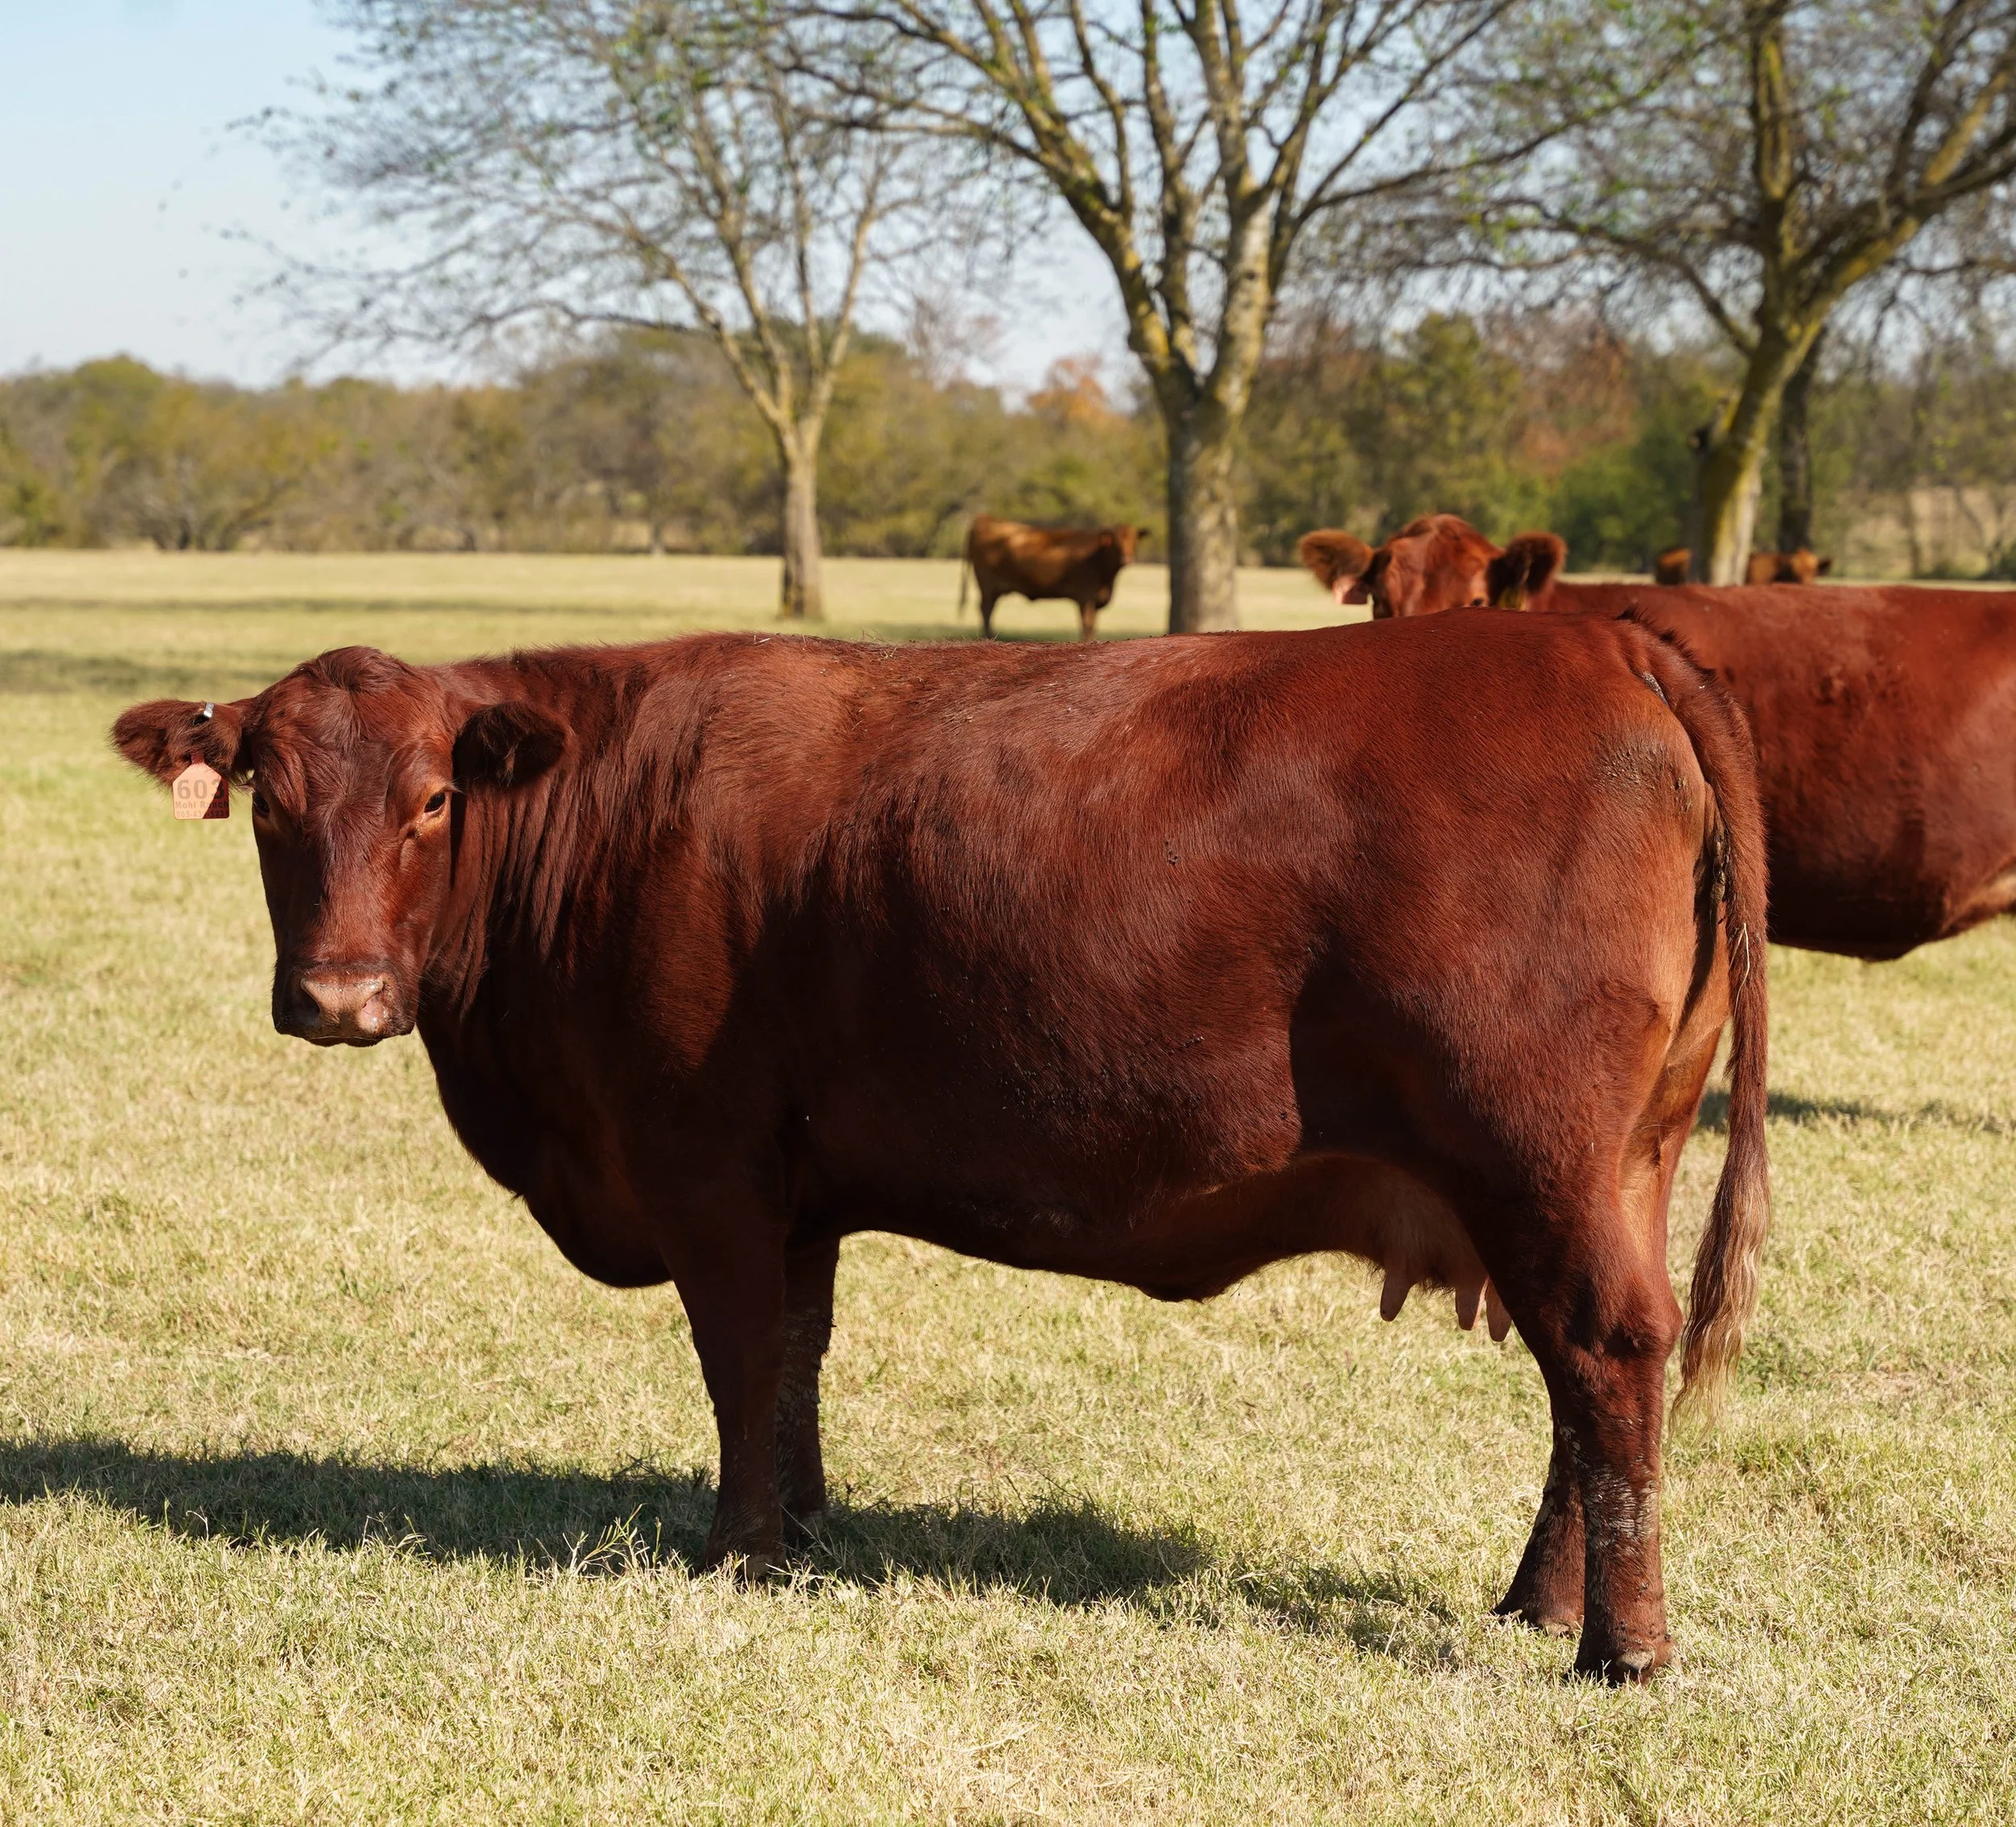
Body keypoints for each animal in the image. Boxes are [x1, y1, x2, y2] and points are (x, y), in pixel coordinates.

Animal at [114, 617, 1768, 1683]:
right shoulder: (794, 1189)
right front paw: (803, 1527)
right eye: (266, 801)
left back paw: (1621, 1648)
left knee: (1607, 1351)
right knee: (1583, 1384)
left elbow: (739, 1353)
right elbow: (796, 1352)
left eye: (434, 796)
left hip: (1537, 1152)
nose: (338, 996)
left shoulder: (703, 1160)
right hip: (1614, 1162)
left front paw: (737, 1551)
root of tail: (1599, 639)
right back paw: (1536, 1604)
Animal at [960, 514, 1147, 640]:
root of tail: (987, 519)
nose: (1127, 559)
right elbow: (1087, 625)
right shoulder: (1085, 598)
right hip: (988, 587)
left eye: (1134, 541)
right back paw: (989, 638)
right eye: (1116, 542)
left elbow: (1093, 626)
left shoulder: (1095, 600)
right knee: (986, 610)